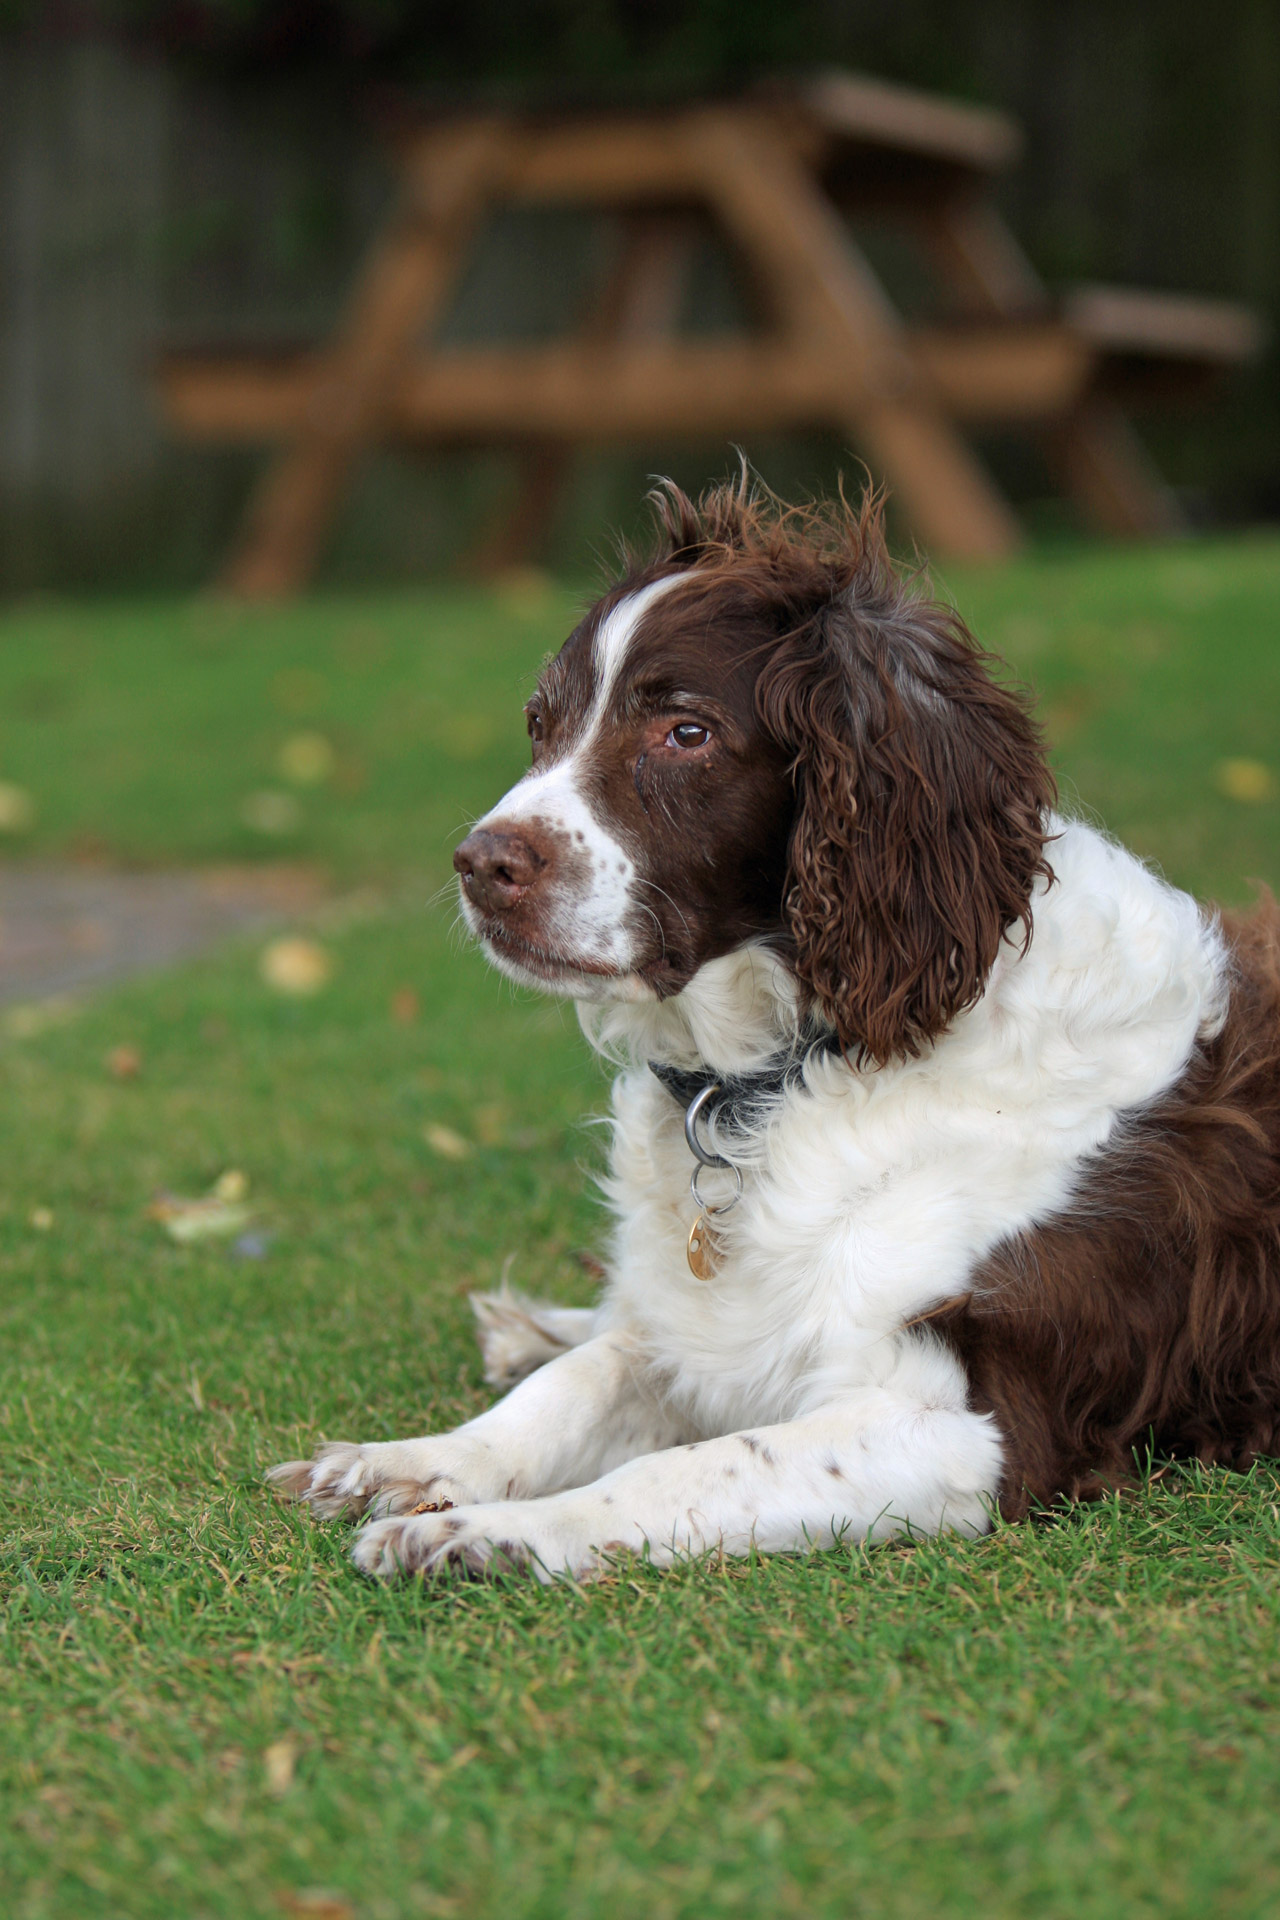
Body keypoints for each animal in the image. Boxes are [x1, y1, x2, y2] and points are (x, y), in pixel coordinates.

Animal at [270, 480, 1280, 1574]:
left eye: (687, 733)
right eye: (541, 725)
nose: (480, 864)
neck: (793, 1067)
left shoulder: (973, 1427)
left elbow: (681, 1466)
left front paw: (488, 1532)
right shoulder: (710, 1334)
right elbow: (588, 1379)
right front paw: (422, 1458)